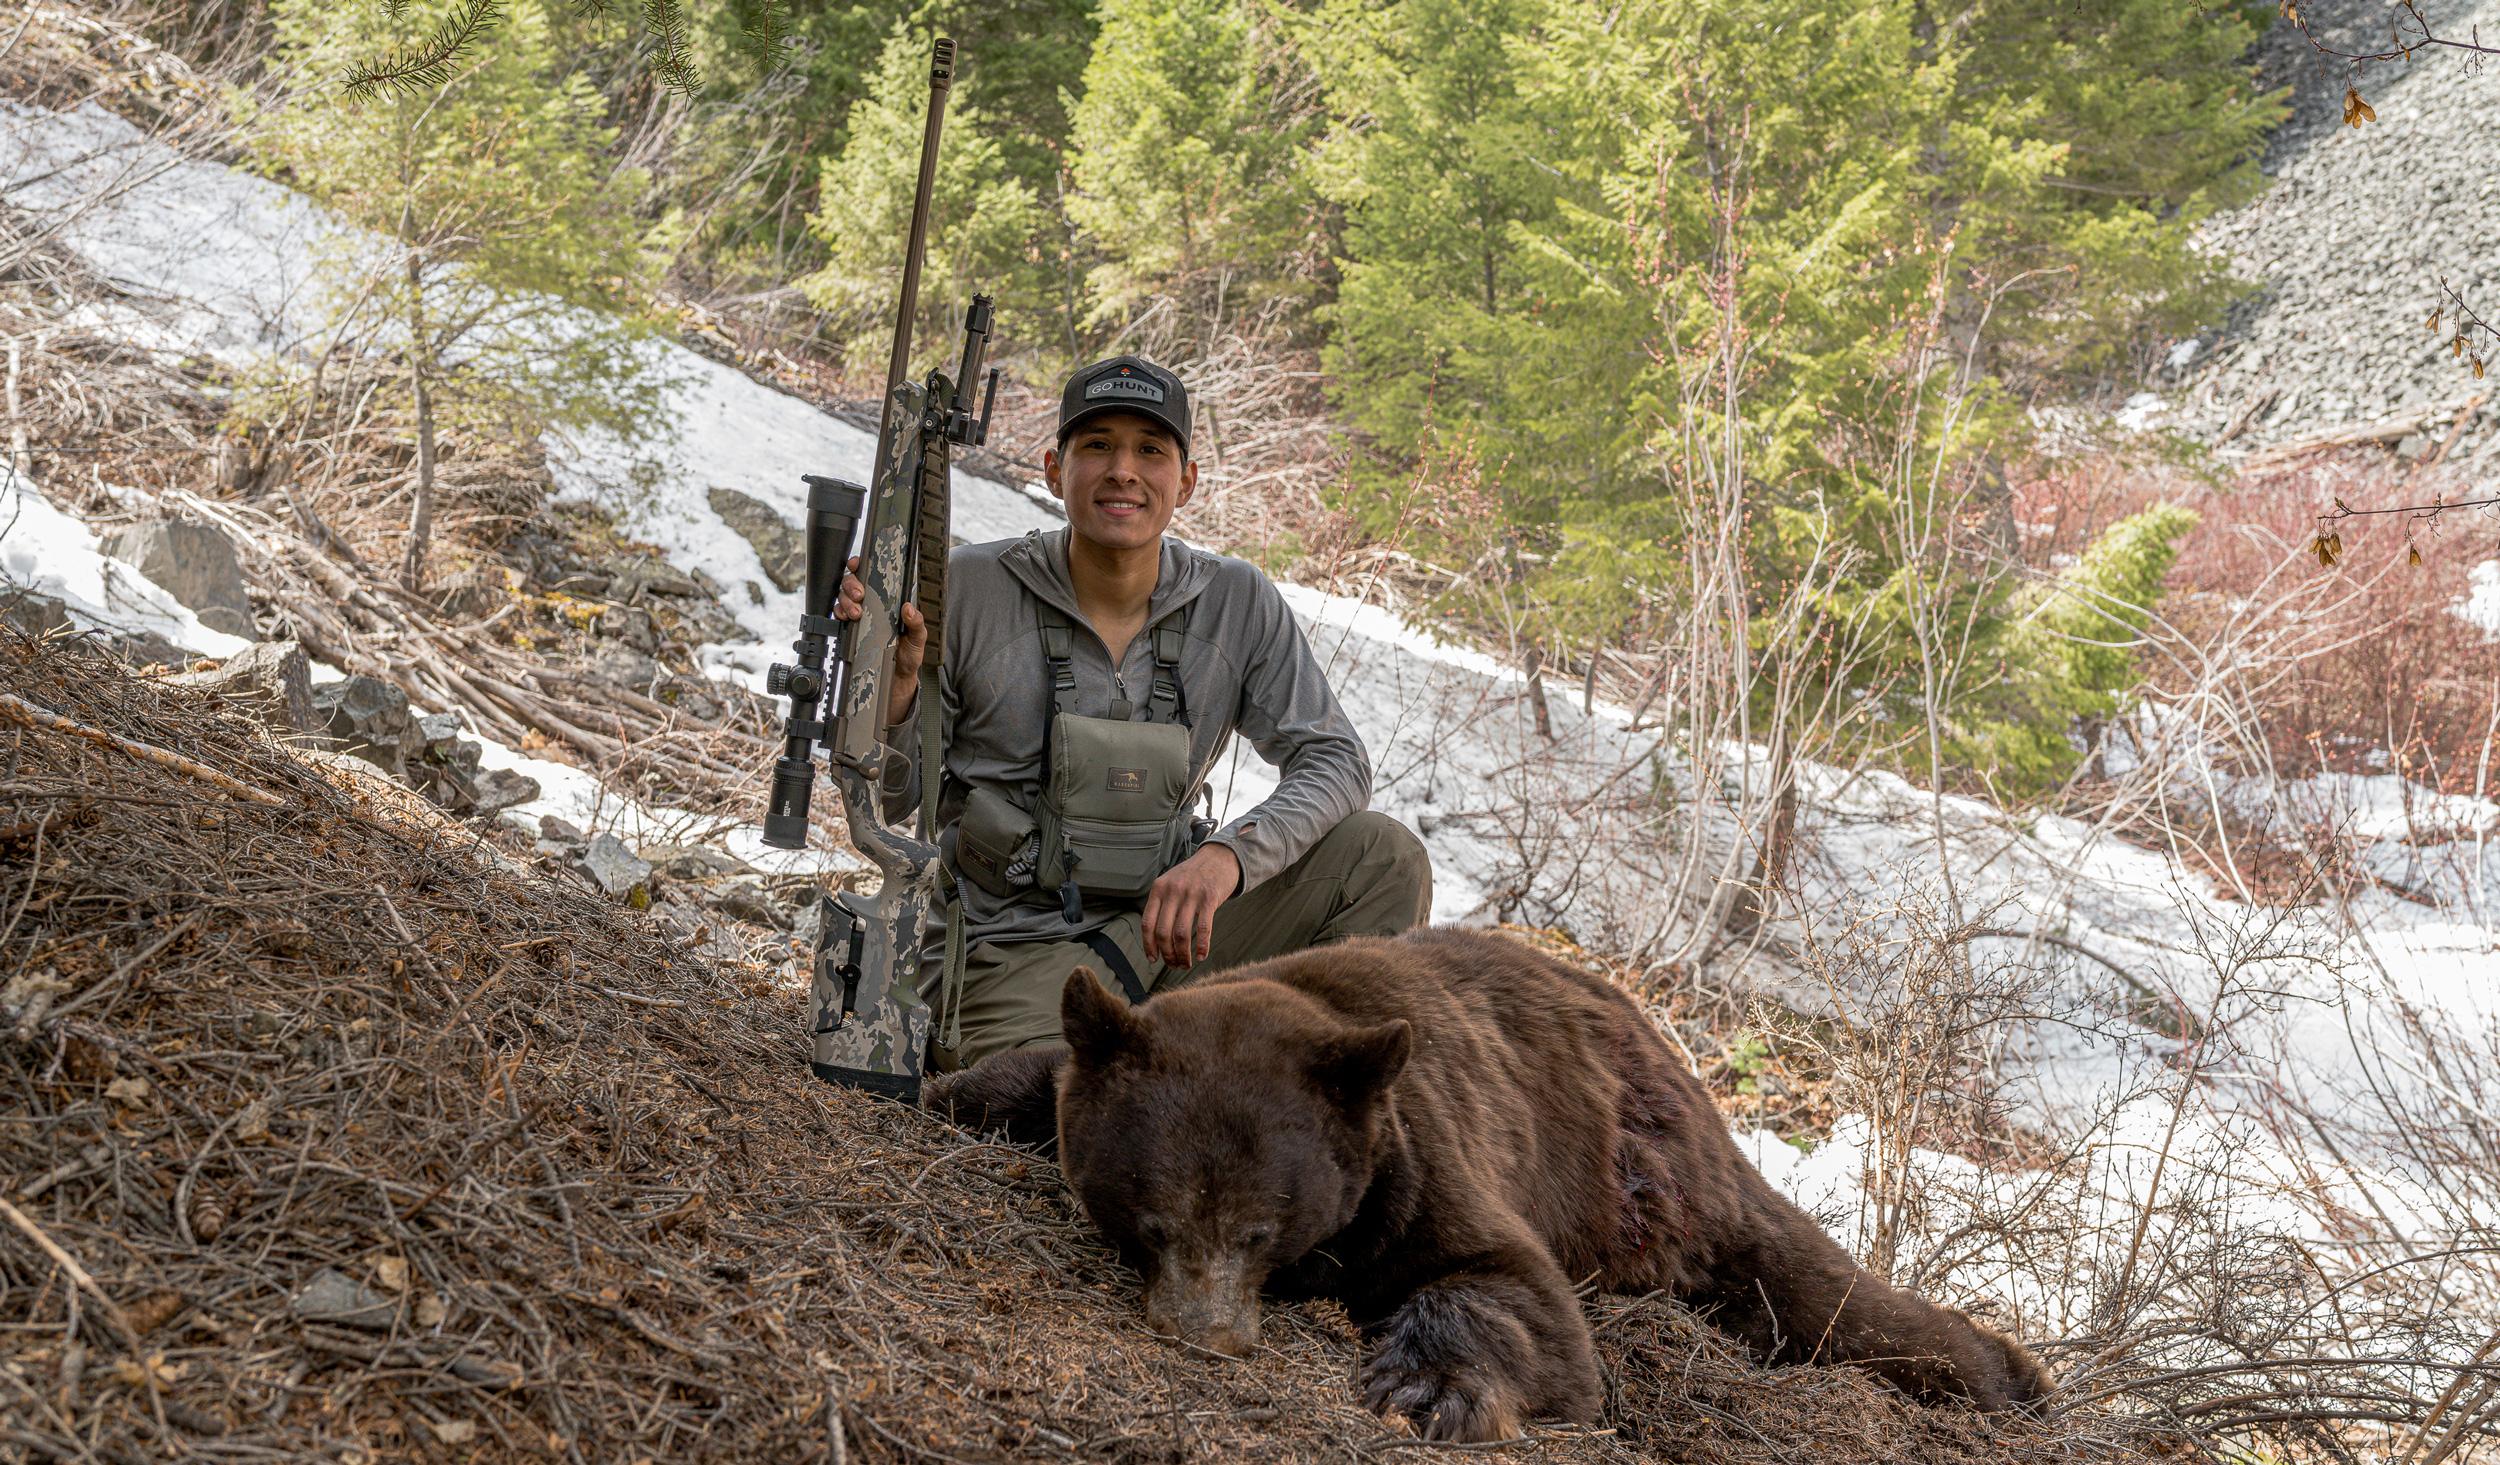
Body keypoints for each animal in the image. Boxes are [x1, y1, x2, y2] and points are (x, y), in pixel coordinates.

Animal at [922, 926, 2051, 1443]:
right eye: (1152, 1219)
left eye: (1261, 1227)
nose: (1208, 1334)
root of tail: (1669, 1048)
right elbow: (1022, 1076)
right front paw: (953, 1087)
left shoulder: (1417, 1156)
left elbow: (1513, 1290)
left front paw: (1429, 1388)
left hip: (1642, 1180)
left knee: (1819, 1293)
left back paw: (2011, 1374)